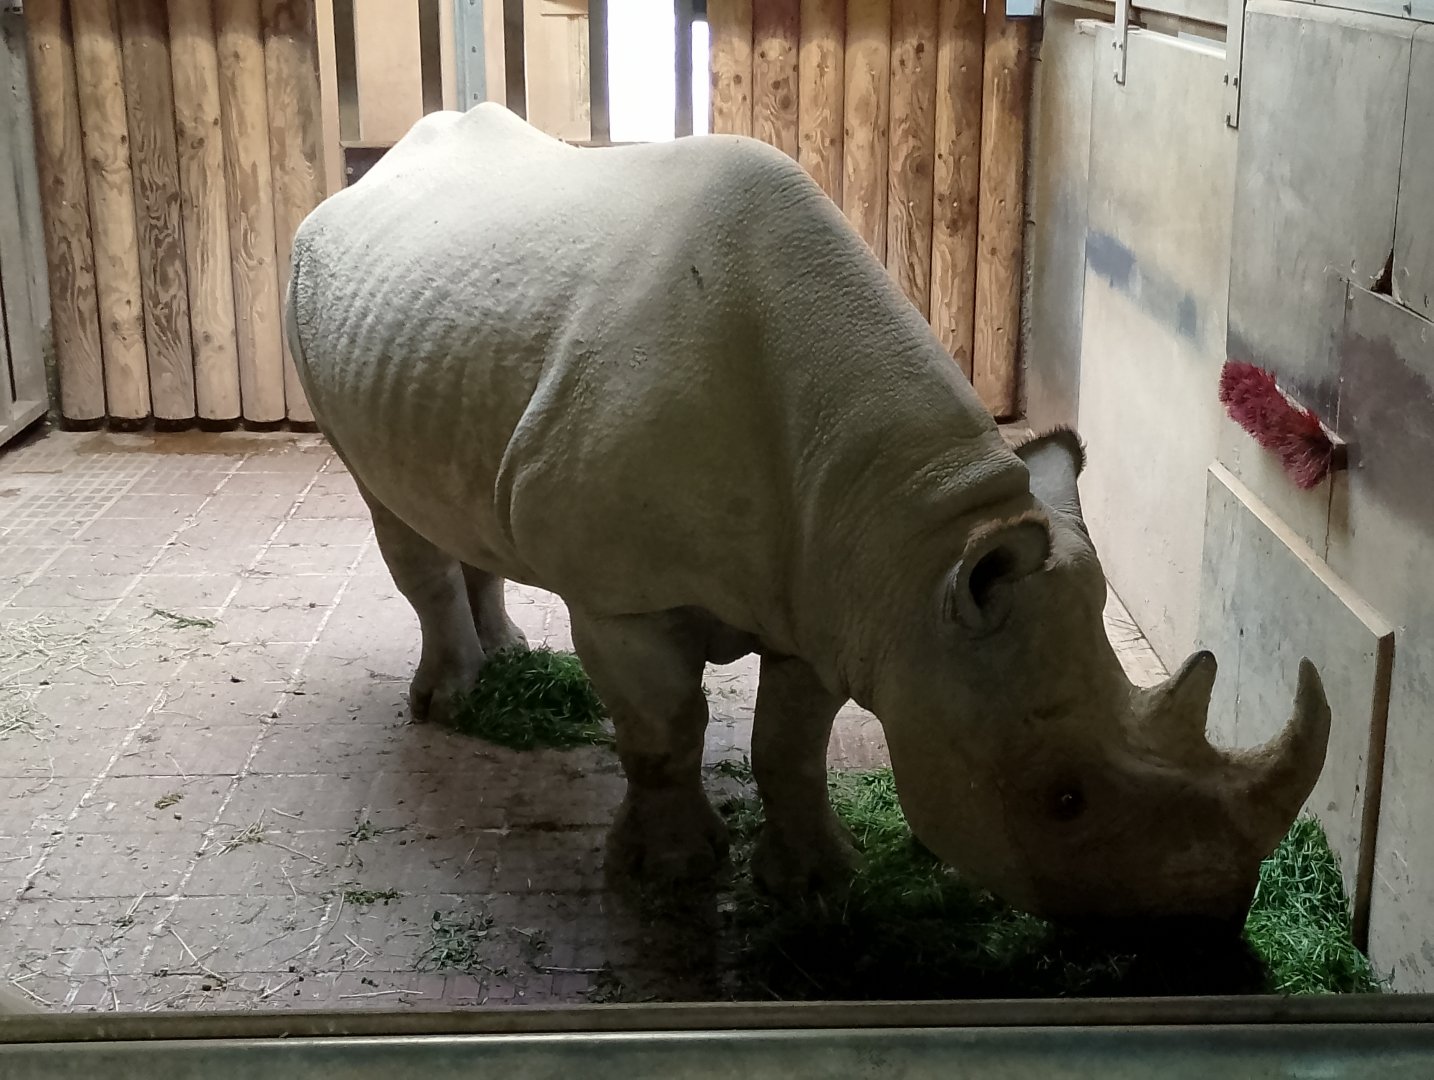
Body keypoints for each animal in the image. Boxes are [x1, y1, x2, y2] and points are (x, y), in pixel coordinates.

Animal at [283, 104, 1330, 931]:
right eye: (1063, 800)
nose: (1210, 924)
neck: (918, 535)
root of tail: (364, 179)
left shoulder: (838, 591)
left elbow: (789, 746)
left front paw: (820, 882)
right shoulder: (627, 597)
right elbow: (665, 731)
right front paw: (673, 876)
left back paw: (507, 662)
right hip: (314, 286)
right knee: (386, 503)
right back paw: (454, 705)